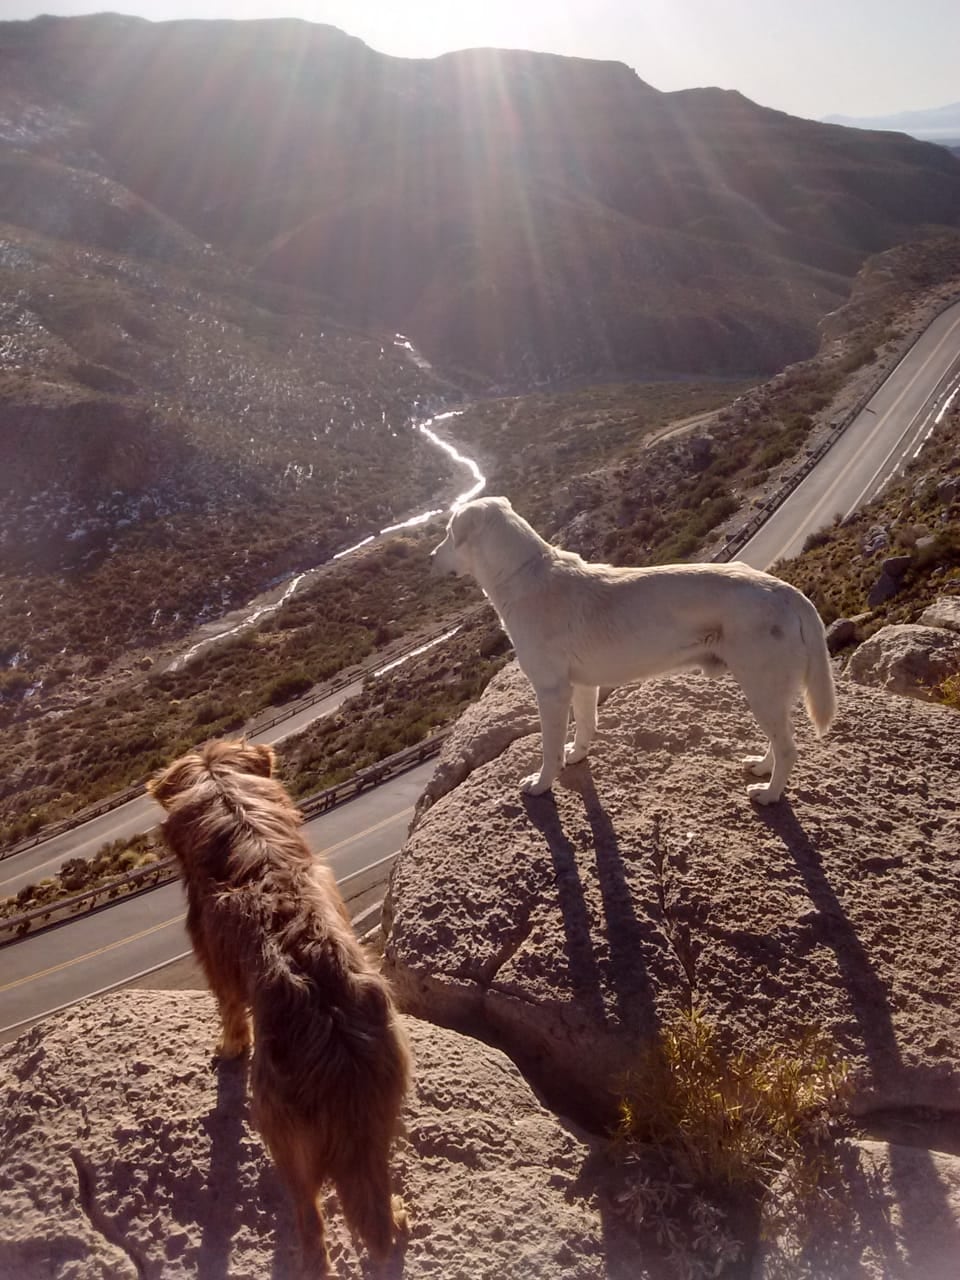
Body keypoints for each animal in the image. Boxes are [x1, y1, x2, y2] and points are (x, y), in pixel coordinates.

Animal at [148, 737, 412, 1274]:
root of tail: (338, 1047)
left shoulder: (215, 964)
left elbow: (230, 1016)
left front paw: (227, 1049)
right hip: (380, 1120)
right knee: (375, 1195)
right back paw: (397, 1217)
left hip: (281, 1132)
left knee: (311, 1219)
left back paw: (310, 1261)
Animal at [432, 496, 839, 803]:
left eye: (450, 534)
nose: (431, 556)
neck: (523, 573)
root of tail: (789, 592)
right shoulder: (581, 685)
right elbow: (585, 725)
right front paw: (577, 756)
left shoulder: (550, 690)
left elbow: (549, 748)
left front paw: (542, 783)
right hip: (771, 692)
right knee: (780, 739)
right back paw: (762, 768)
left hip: (761, 686)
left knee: (788, 748)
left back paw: (769, 793)